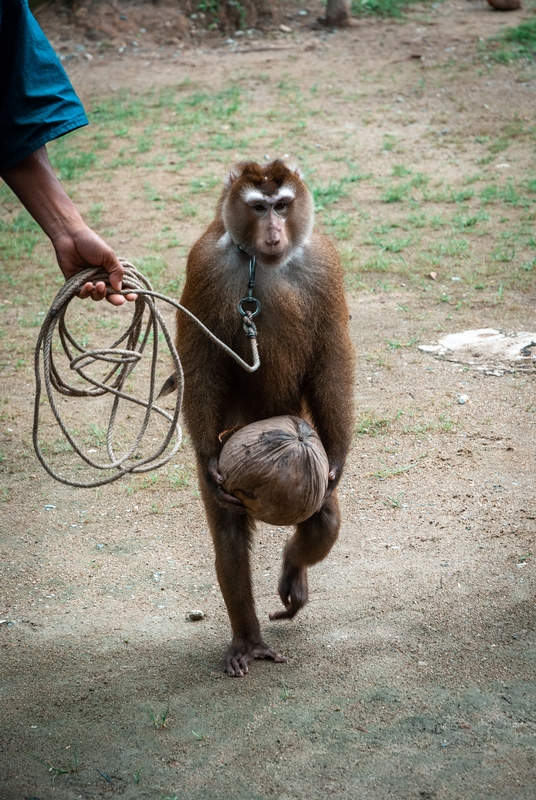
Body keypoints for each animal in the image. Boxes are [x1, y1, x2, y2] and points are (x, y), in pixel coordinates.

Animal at [165, 161, 354, 676]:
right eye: (258, 207)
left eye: (283, 205)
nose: (273, 232)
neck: (261, 267)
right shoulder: (205, 265)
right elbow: (200, 361)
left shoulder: (324, 263)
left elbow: (332, 355)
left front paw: (339, 459)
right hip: (228, 447)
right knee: (229, 535)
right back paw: (247, 639)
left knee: (323, 517)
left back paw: (294, 571)